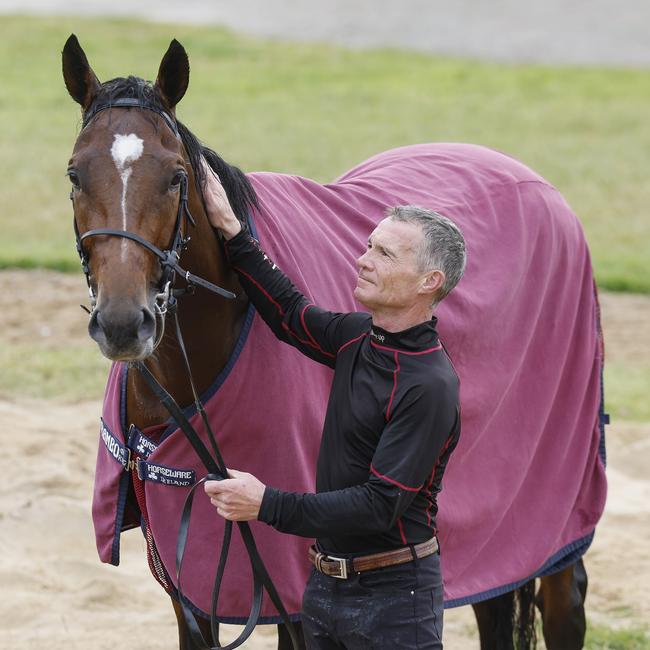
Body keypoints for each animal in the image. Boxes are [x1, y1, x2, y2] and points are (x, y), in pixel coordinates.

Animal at [63, 35, 604, 648]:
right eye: (75, 175)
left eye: (177, 176)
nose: (123, 323)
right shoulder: (188, 589)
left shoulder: (289, 588)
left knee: (563, 602)